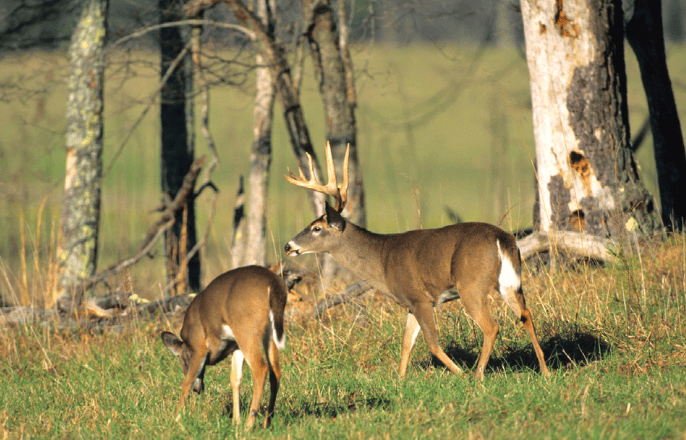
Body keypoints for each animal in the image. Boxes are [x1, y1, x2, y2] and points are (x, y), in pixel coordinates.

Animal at [160, 265, 288, 428]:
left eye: (184, 363)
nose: (198, 390)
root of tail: (273, 284)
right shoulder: (235, 346)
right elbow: (235, 379)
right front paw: (235, 422)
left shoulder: (198, 346)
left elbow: (187, 381)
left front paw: (175, 419)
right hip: (268, 332)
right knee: (275, 371)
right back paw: (266, 423)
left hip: (246, 329)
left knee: (260, 368)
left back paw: (249, 425)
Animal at [283, 142, 550, 380]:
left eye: (316, 228)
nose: (288, 246)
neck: (381, 260)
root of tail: (502, 238)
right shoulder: (410, 303)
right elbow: (406, 342)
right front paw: (400, 381)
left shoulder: (421, 297)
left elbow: (431, 342)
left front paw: (458, 373)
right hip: (508, 282)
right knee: (526, 314)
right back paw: (545, 371)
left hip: (471, 285)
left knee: (491, 326)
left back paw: (477, 376)